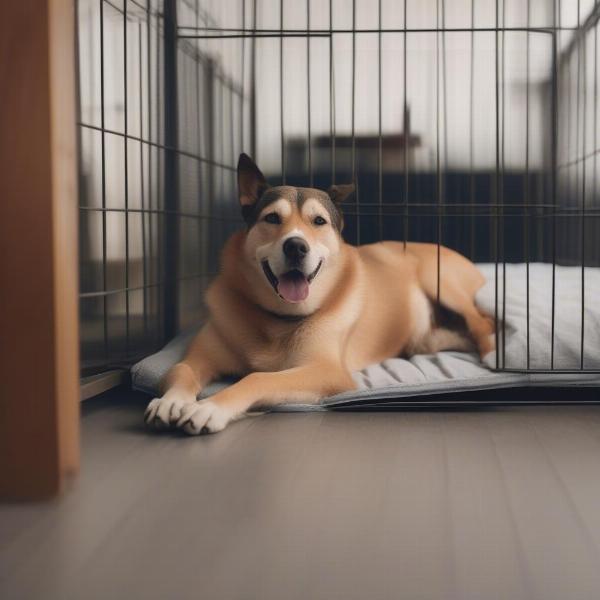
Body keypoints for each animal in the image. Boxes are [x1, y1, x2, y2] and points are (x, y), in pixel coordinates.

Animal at [143, 152, 494, 434]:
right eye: (272, 218)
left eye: (319, 221)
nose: (296, 246)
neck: (278, 318)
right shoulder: (200, 355)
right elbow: (180, 369)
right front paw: (171, 402)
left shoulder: (326, 371)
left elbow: (257, 378)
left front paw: (209, 408)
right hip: (425, 336)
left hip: (441, 280)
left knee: (481, 321)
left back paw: (491, 352)